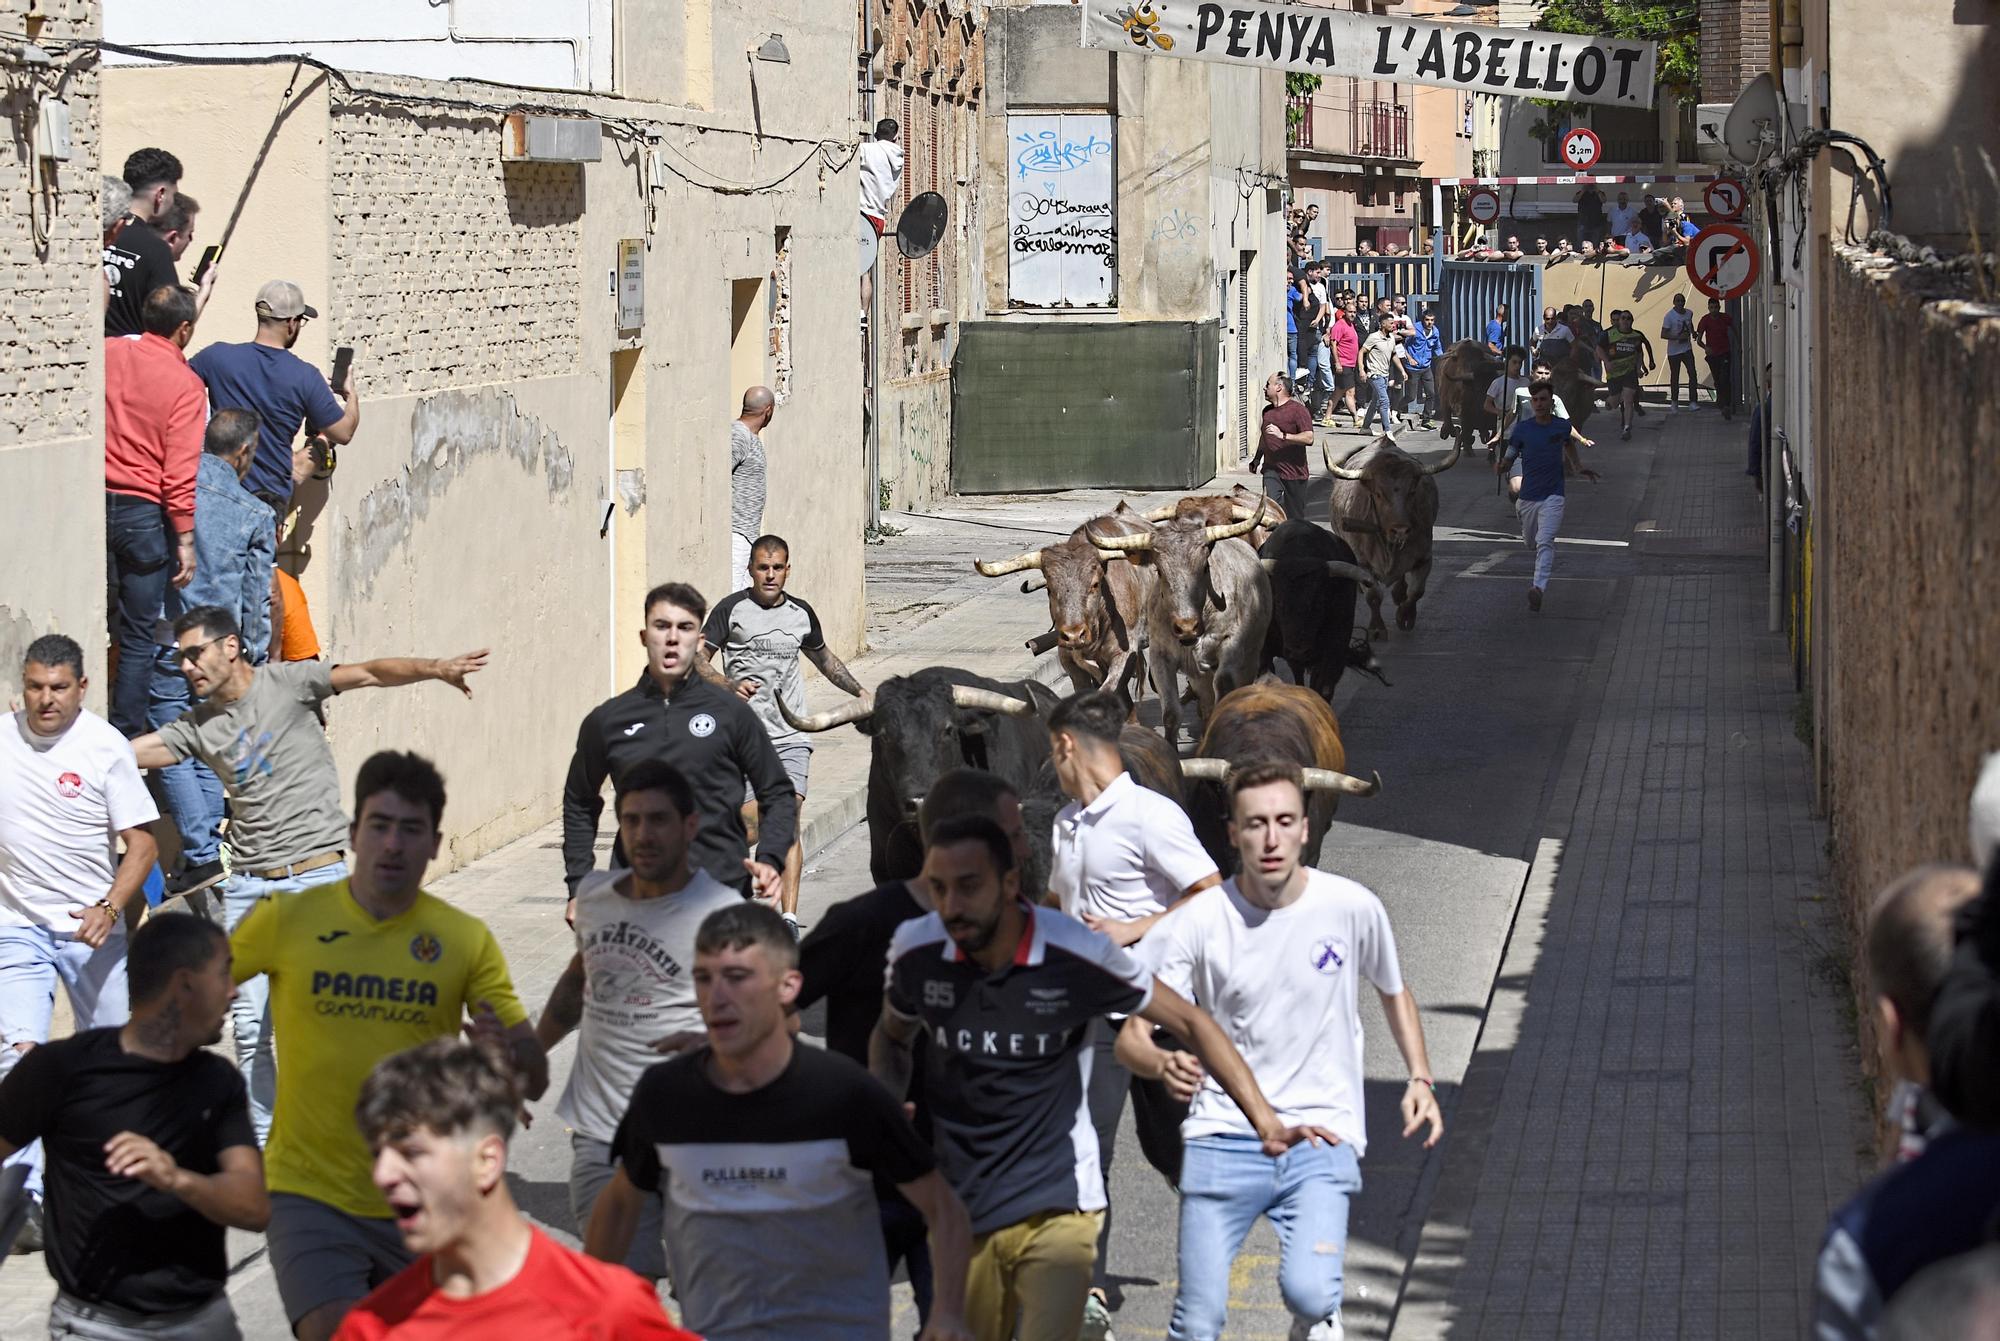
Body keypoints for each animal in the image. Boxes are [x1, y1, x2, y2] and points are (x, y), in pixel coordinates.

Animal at [1320, 434, 1464, 636]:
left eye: (1412, 491)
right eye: (1378, 494)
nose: (1400, 529)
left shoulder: (1424, 557)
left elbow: (1416, 591)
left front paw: (1405, 616)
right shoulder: (1363, 563)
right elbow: (1373, 596)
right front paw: (1377, 628)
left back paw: (1399, 593)